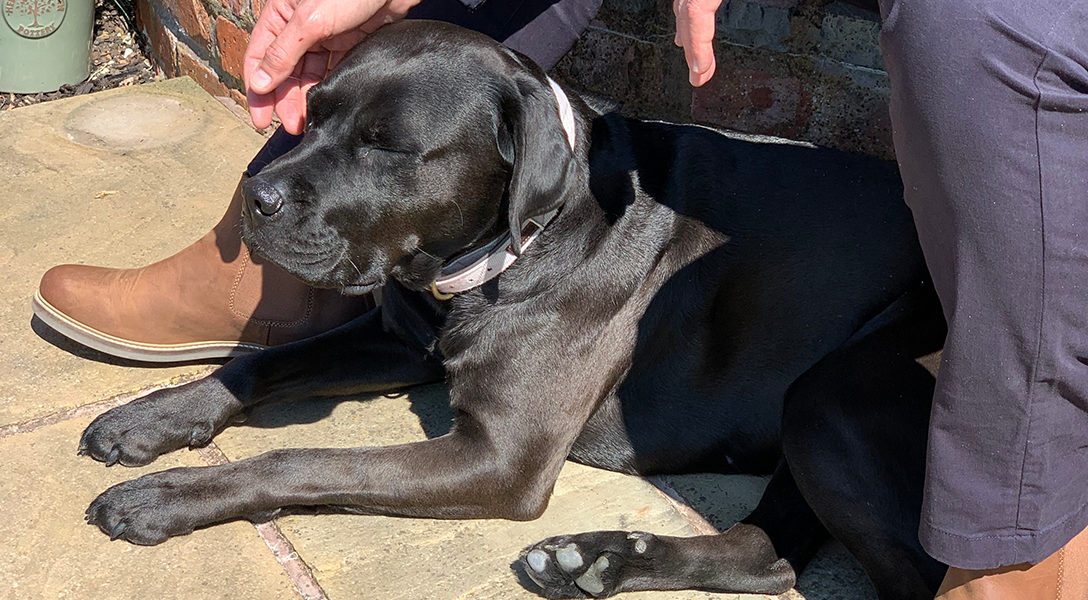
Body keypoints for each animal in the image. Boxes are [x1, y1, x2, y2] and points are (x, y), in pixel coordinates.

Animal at [78, 21, 944, 600]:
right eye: (312, 111)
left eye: (388, 146)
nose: (252, 200)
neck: (517, 242)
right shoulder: (401, 338)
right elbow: (261, 362)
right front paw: (151, 417)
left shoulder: (498, 456)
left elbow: (307, 460)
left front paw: (169, 496)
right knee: (767, 555)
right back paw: (598, 559)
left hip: (835, 393)